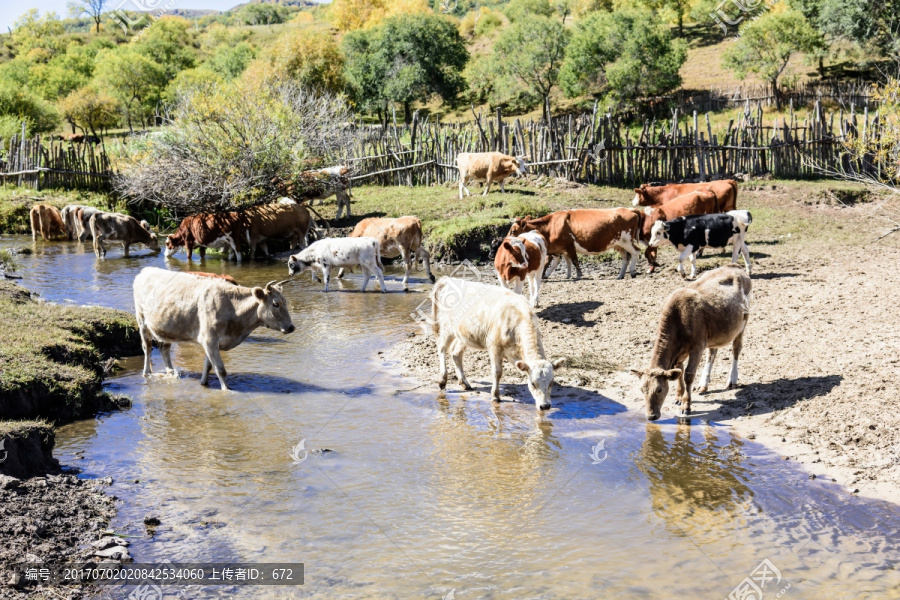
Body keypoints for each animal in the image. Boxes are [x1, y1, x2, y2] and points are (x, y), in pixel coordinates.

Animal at [134, 266, 296, 390]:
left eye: (286, 302)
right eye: (275, 304)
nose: (291, 327)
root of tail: (146, 270)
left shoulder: (213, 342)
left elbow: (208, 366)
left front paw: (204, 383)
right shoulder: (209, 339)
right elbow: (220, 369)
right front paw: (226, 390)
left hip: (166, 328)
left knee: (164, 348)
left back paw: (170, 371)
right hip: (142, 321)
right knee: (147, 347)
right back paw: (147, 372)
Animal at [510, 209, 644, 278]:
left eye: (513, 230)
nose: (508, 242)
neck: (550, 226)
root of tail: (629, 210)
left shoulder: (569, 246)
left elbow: (574, 260)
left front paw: (578, 275)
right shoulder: (558, 250)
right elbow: (559, 262)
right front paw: (564, 275)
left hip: (626, 241)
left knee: (636, 252)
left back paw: (632, 271)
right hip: (619, 244)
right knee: (626, 257)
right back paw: (620, 275)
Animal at [632, 264, 752, 420]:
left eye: (659, 389)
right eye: (642, 389)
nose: (651, 416)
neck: (679, 317)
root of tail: (734, 266)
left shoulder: (697, 347)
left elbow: (688, 375)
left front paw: (686, 405)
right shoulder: (680, 351)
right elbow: (679, 370)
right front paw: (678, 396)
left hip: (743, 321)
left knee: (736, 348)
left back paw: (732, 380)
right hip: (713, 333)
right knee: (712, 353)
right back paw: (703, 384)